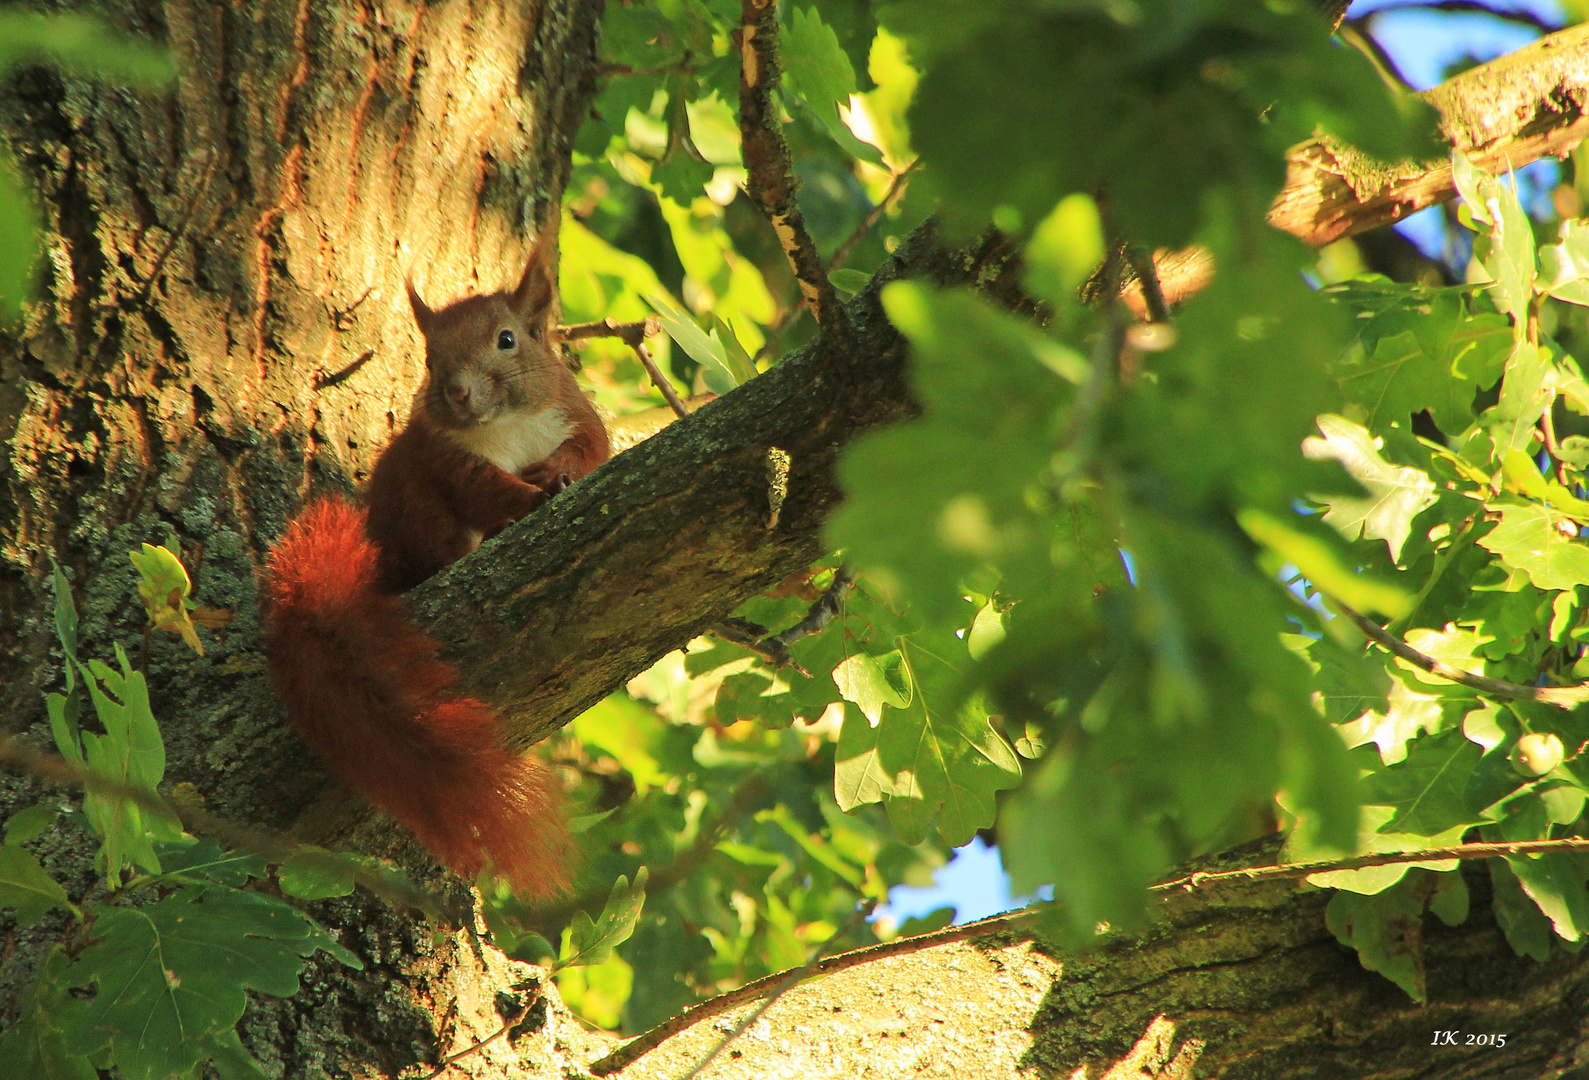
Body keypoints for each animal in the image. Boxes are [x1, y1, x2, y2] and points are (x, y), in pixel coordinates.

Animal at [260, 223, 606, 895]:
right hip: (415, 500)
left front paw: (555, 473)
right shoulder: (445, 459)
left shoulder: (575, 417)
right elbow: (487, 491)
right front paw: (525, 498)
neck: (507, 427)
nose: (457, 391)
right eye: (427, 358)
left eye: (507, 339)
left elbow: (588, 451)